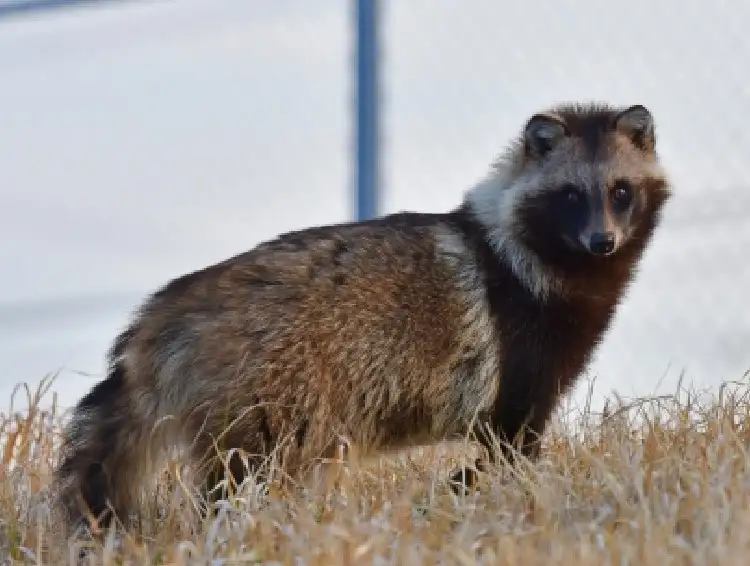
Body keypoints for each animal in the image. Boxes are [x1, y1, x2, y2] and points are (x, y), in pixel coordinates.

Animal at [54, 101, 676, 532]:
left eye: (621, 191)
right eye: (571, 194)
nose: (602, 241)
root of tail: (171, 310)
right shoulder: (519, 348)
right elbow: (510, 449)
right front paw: (472, 500)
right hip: (267, 392)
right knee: (244, 481)